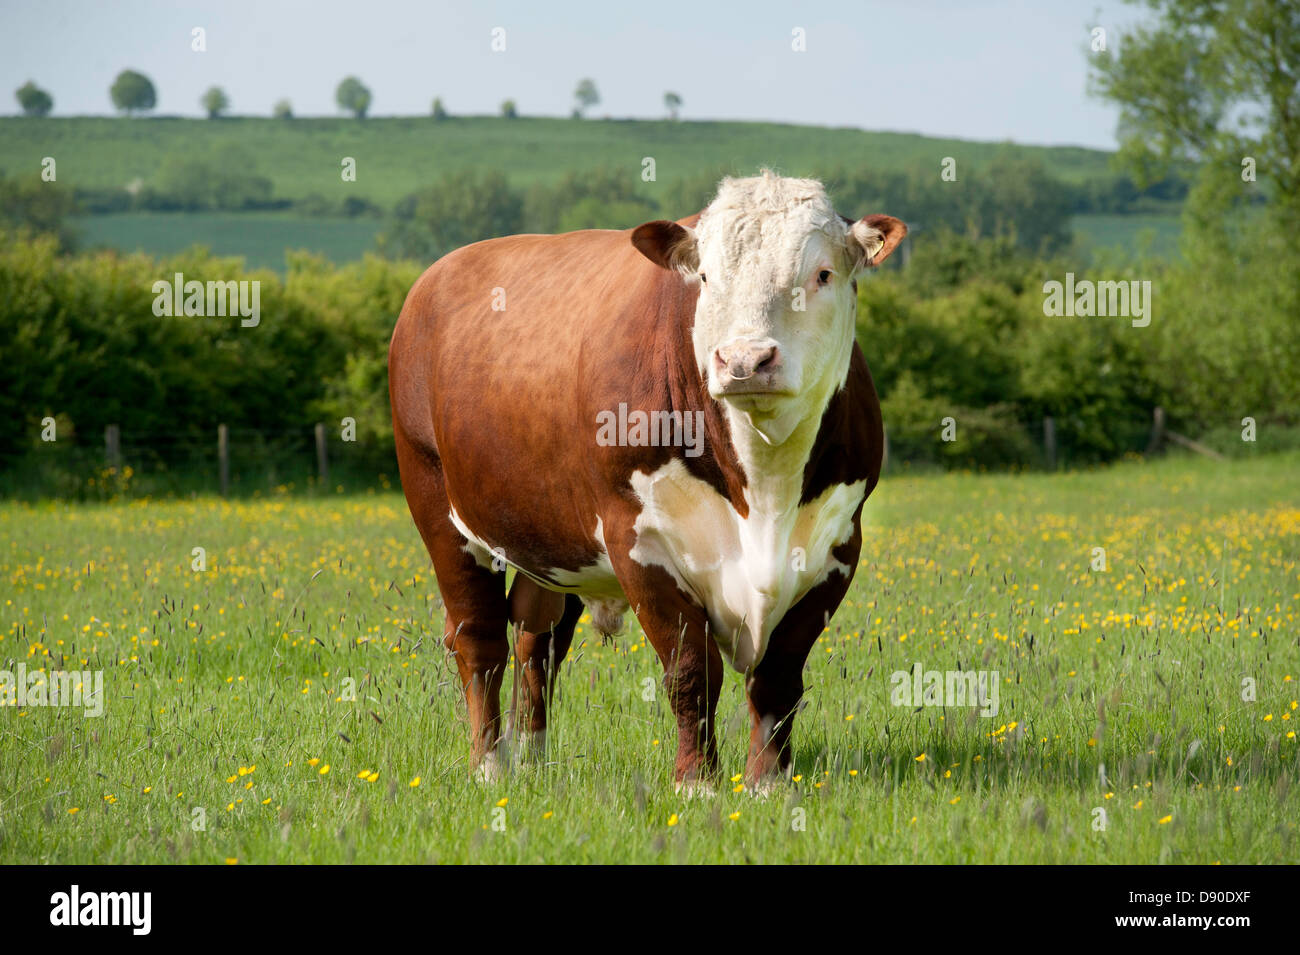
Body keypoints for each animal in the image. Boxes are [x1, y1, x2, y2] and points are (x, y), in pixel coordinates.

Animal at [388, 171, 906, 792]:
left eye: (823, 273)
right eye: (705, 277)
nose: (744, 360)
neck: (764, 490)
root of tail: (436, 275)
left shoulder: (836, 547)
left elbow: (778, 676)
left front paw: (767, 783)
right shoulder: (638, 541)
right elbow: (691, 670)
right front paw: (697, 780)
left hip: (554, 541)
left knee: (538, 640)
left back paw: (532, 759)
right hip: (437, 502)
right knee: (479, 638)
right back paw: (490, 764)